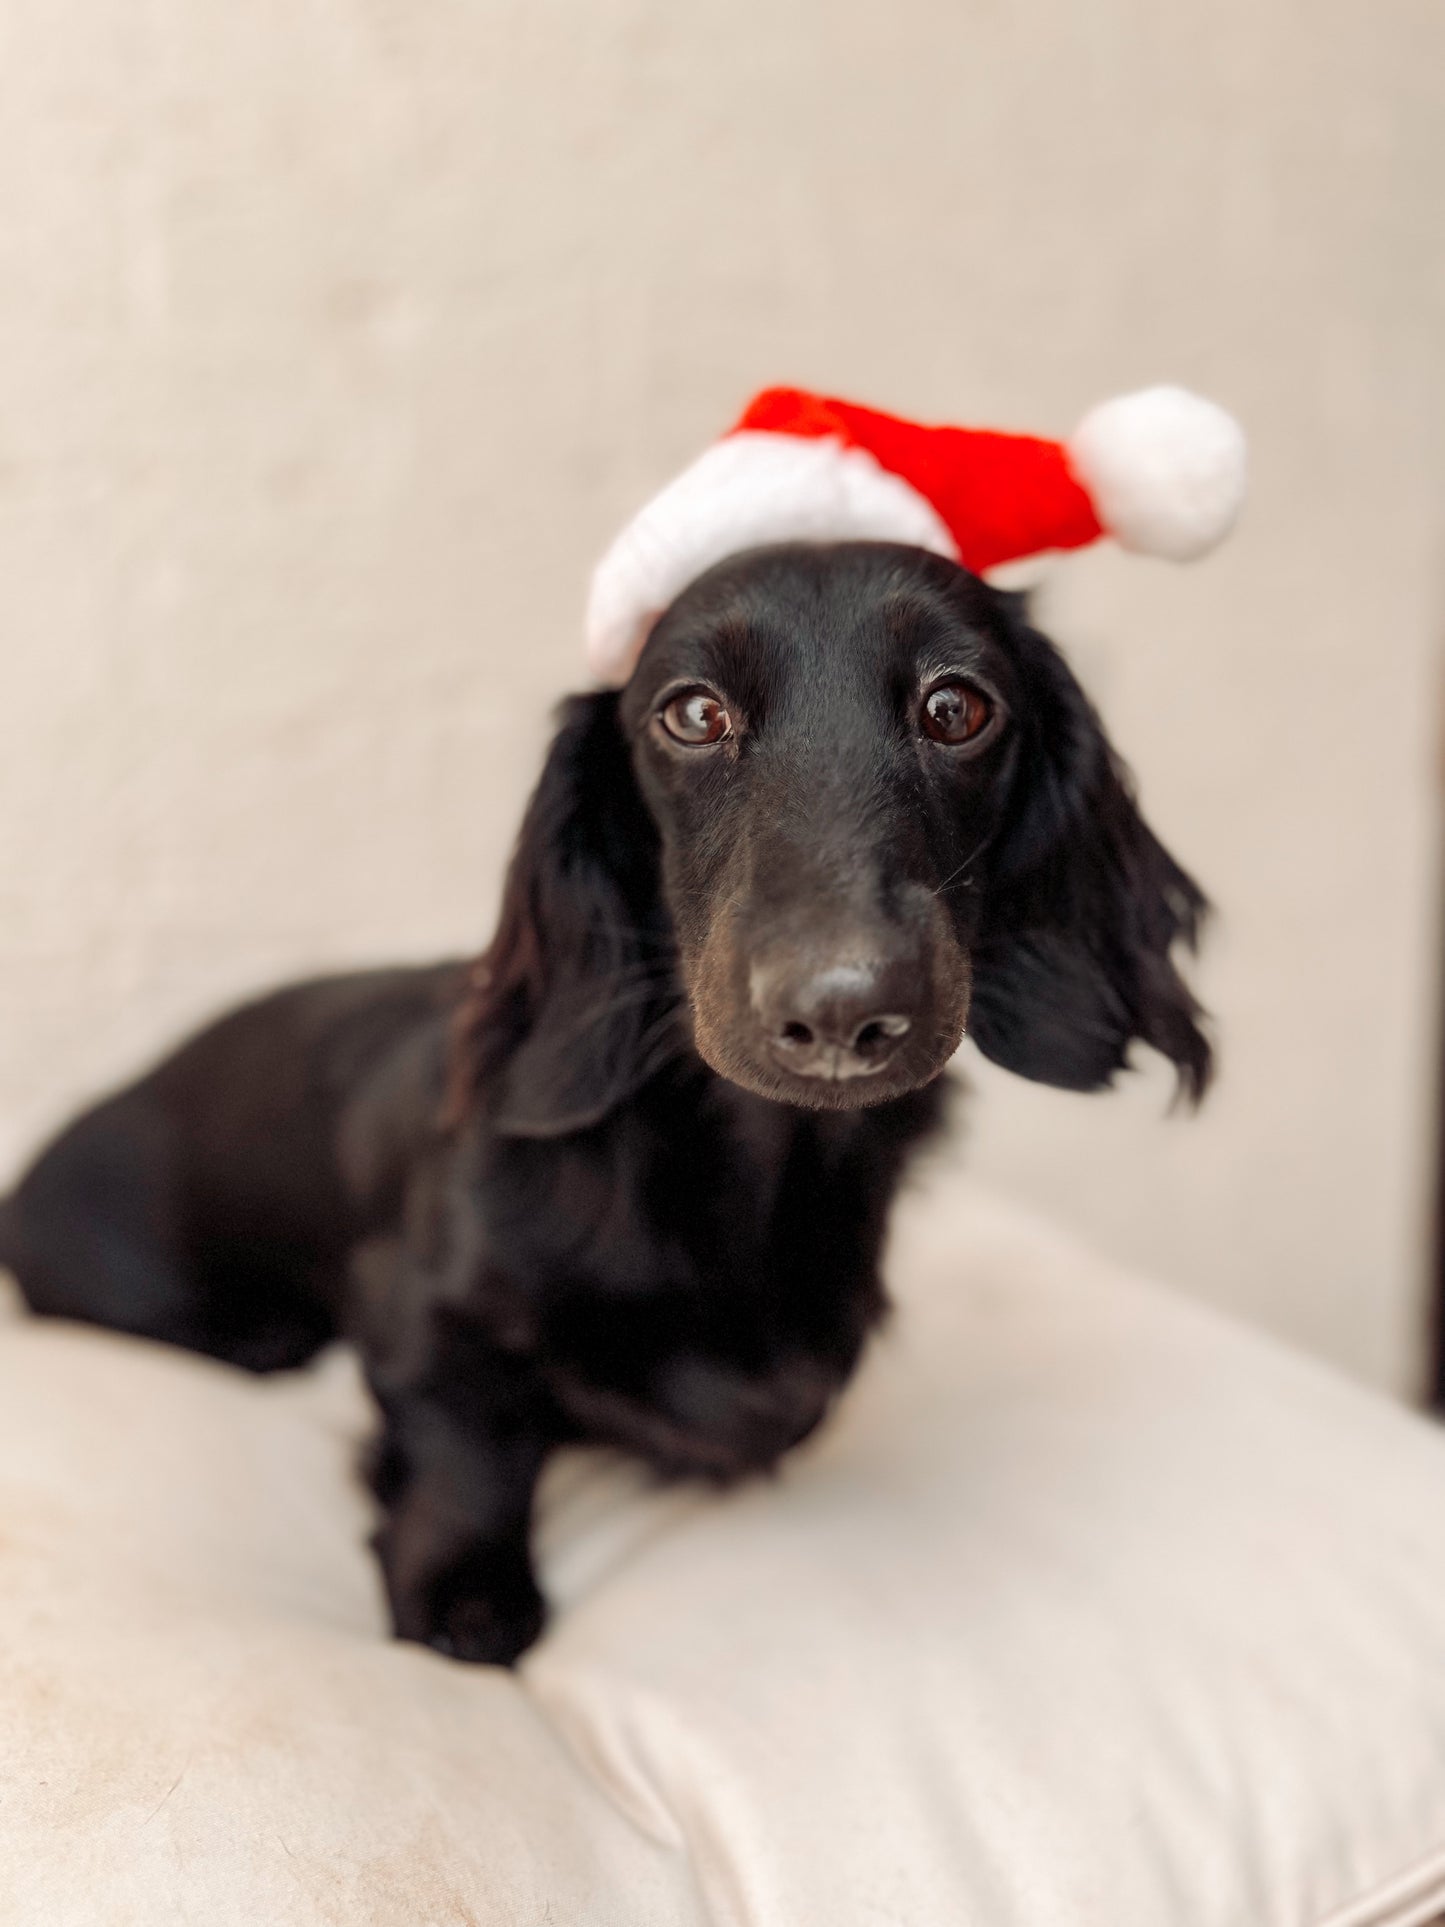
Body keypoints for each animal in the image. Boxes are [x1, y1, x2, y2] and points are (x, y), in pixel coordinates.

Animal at [0, 543, 1209, 1657]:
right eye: (692, 712)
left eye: (957, 706)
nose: (839, 1009)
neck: (744, 1167)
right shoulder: (416, 1308)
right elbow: (469, 1441)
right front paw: (464, 1590)